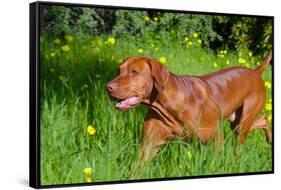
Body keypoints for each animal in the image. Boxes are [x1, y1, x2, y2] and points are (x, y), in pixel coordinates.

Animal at [106, 54, 270, 160]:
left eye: (134, 72)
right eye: (118, 71)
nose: (108, 87)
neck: (168, 105)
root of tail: (255, 72)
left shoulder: (215, 138)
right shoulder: (148, 145)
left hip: (243, 123)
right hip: (236, 122)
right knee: (263, 119)